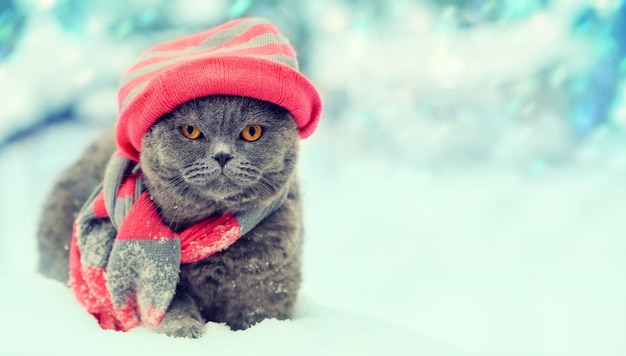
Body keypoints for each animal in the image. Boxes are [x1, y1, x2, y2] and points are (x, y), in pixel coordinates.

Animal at [35, 95, 304, 340]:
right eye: (190, 131)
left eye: (252, 132)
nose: (222, 155)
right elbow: (174, 304)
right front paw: (183, 331)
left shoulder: (267, 287)